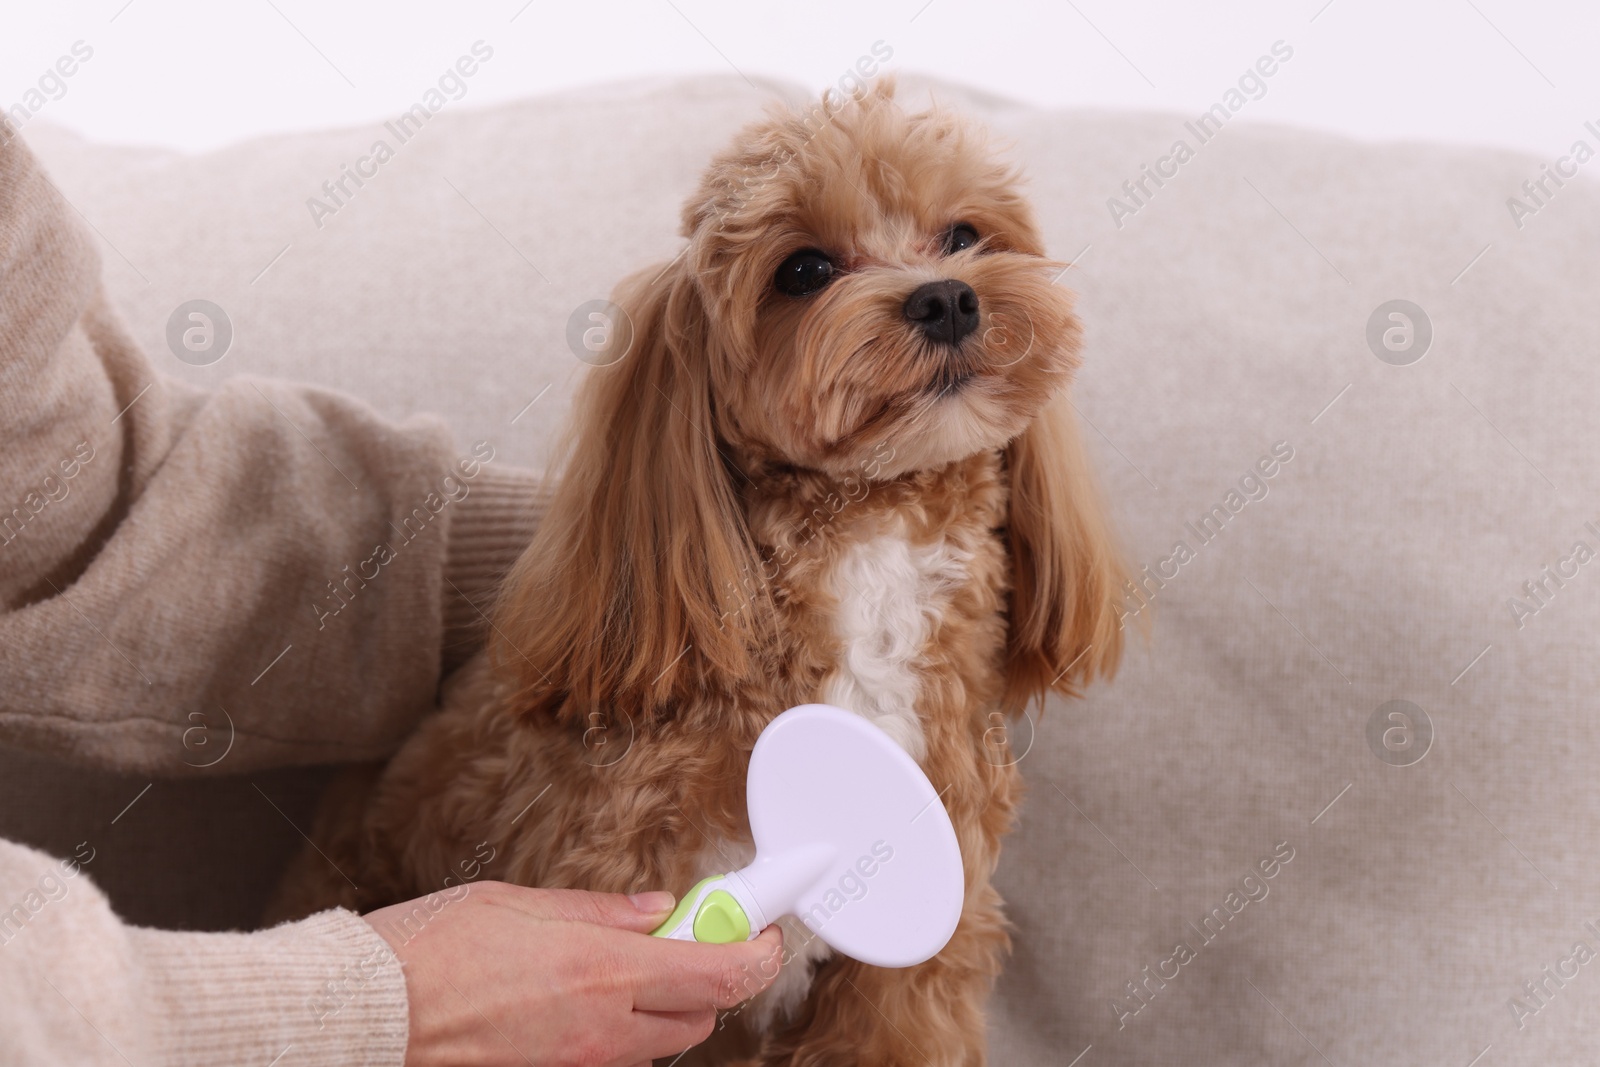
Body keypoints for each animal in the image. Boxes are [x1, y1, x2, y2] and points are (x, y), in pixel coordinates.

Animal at [275, 81, 1126, 1067]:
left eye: (963, 235)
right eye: (803, 271)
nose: (947, 297)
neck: (869, 552)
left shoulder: (914, 963)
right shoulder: (613, 871)